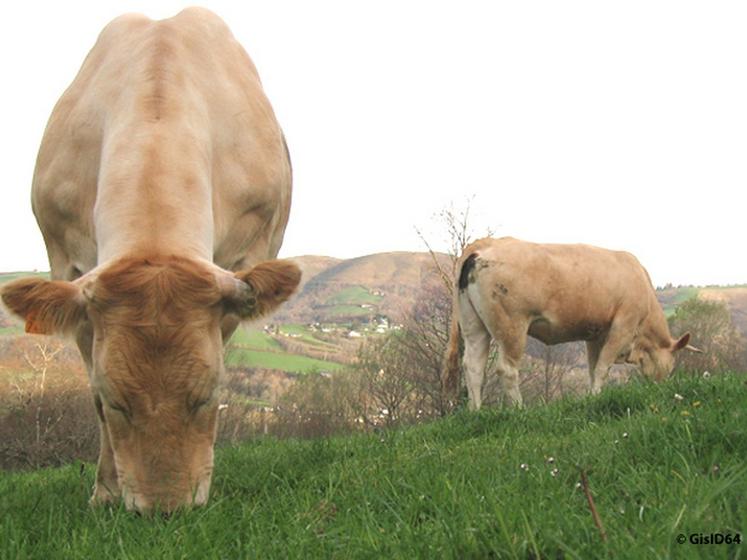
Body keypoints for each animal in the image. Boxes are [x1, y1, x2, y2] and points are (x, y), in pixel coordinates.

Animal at [3, 8, 300, 516]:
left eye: (207, 396)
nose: (165, 510)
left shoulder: (243, 260)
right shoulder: (67, 266)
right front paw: (105, 490)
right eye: (116, 401)